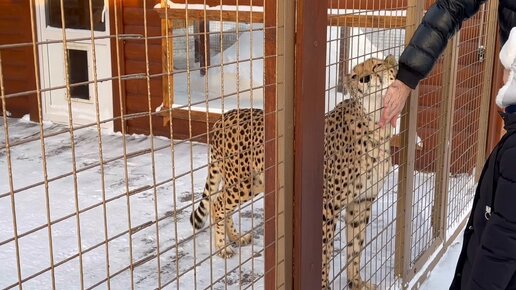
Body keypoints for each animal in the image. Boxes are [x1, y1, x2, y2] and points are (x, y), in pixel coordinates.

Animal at [191, 55, 398, 288]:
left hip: (255, 182)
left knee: (221, 203)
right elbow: (324, 253)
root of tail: (224, 116)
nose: (364, 79)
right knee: (217, 204)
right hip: (243, 182)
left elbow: (355, 248)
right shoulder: (327, 206)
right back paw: (222, 247)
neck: (375, 126)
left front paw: (357, 282)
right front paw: (323, 285)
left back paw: (236, 237)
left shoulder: (361, 202)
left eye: (377, 66)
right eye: (354, 75)